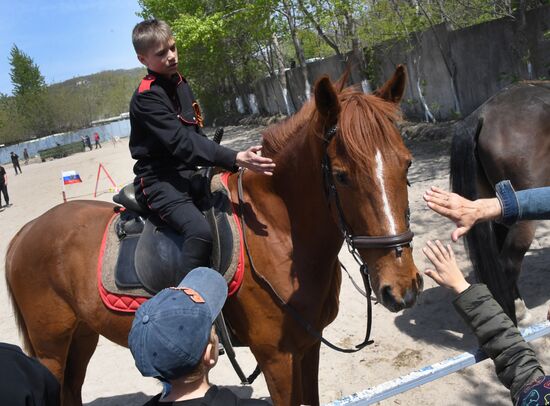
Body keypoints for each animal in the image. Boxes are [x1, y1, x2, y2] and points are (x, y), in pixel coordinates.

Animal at [5, 66, 422, 406]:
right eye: (341, 175)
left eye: (407, 163)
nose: (401, 287)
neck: (279, 232)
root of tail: (24, 233)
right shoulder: (277, 358)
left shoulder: (307, 348)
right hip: (50, 350)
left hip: (81, 337)